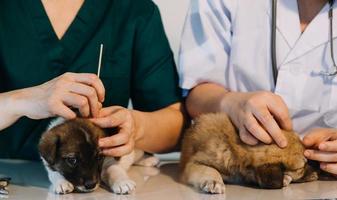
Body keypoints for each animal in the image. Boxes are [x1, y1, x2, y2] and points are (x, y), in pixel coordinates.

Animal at [180, 113, 318, 193]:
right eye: (302, 166)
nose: (317, 170)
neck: (233, 147)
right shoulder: (195, 162)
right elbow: (209, 170)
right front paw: (213, 181)